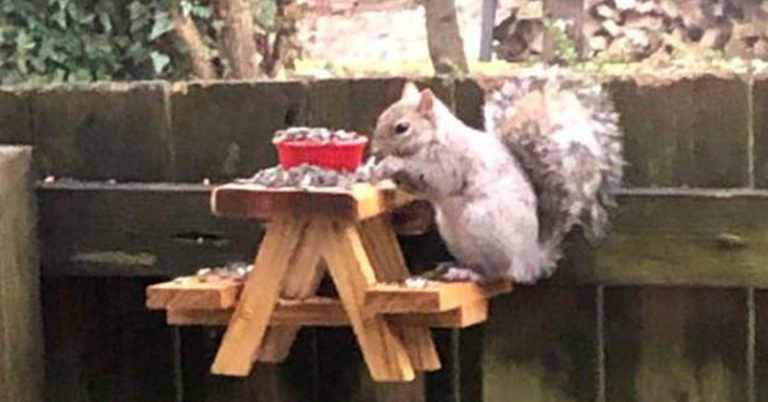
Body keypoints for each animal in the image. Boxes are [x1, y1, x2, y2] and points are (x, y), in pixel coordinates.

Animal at [371, 69, 623, 284]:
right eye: (381, 116)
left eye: (402, 128)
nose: (374, 149)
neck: (434, 138)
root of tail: (529, 259)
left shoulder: (450, 162)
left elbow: (435, 181)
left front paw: (391, 164)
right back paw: (453, 267)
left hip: (483, 224)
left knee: (497, 273)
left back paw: (470, 274)